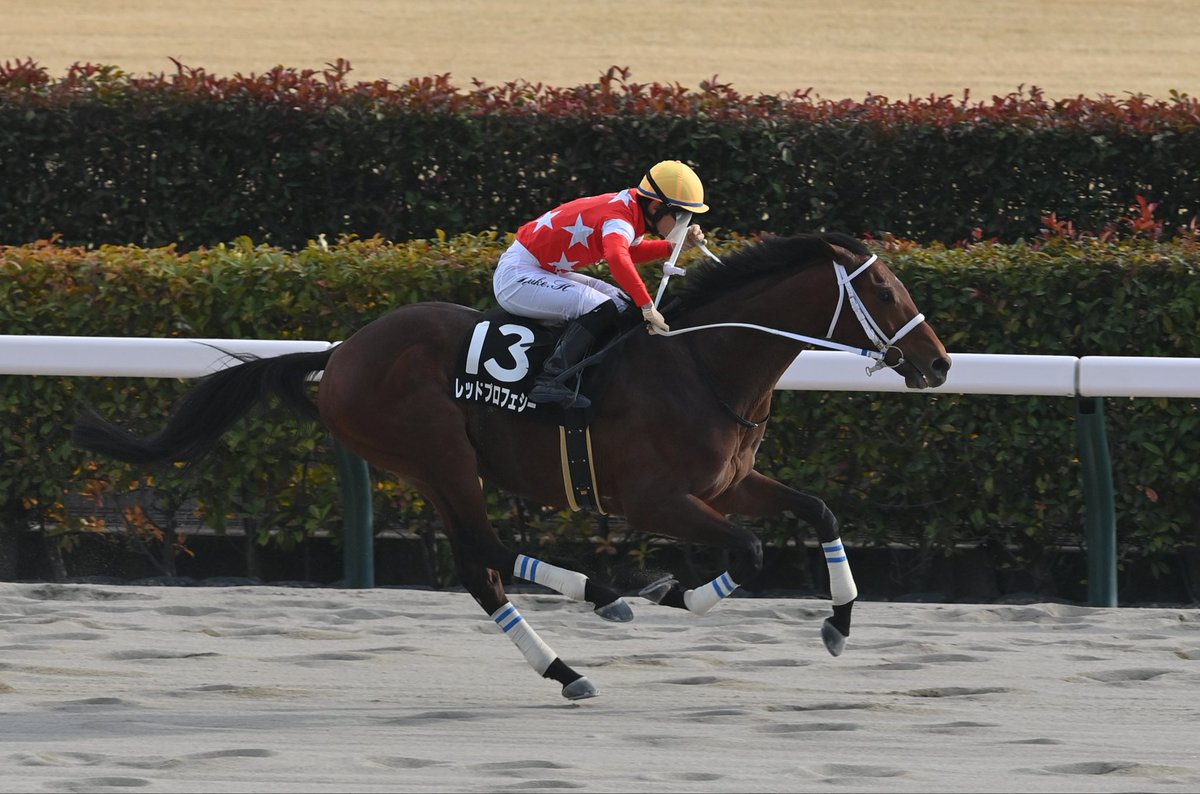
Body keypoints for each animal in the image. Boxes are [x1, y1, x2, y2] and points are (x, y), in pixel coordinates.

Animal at [71, 232, 951, 701]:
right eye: (883, 289)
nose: (939, 364)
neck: (702, 365)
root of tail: (342, 351)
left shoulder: (729, 483)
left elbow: (820, 514)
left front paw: (839, 623)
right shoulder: (653, 499)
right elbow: (751, 551)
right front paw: (668, 592)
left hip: (426, 467)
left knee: (478, 568)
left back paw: (565, 668)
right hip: (436, 450)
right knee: (488, 551)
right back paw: (604, 600)